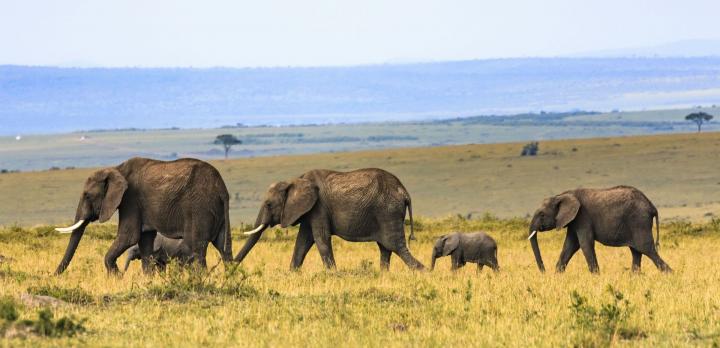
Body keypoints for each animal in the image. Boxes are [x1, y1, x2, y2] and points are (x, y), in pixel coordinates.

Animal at [233, 167, 424, 270]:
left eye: (268, 204)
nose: (229, 269)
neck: (295, 180)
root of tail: (404, 192)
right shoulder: (309, 211)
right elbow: (302, 242)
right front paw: (292, 273)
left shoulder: (319, 208)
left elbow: (321, 239)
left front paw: (333, 274)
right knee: (385, 248)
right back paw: (383, 274)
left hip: (388, 212)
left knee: (395, 246)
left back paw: (423, 272)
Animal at [524, 186, 672, 274]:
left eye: (542, 215)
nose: (544, 272)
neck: (562, 195)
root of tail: (652, 206)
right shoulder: (574, 221)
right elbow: (570, 246)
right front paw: (557, 275)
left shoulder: (583, 217)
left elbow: (584, 244)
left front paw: (596, 276)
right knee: (636, 252)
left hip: (639, 222)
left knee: (647, 249)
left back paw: (670, 274)